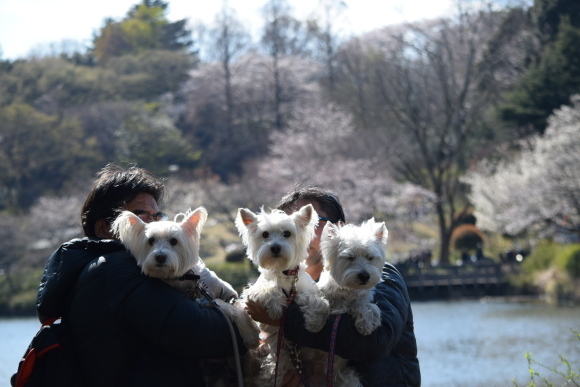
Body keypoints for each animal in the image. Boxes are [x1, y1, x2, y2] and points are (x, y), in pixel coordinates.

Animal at [234, 205, 326, 386]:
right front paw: (276, 308)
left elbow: (317, 301)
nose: (275, 247)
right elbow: (267, 289)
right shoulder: (253, 290)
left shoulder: (308, 288)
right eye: (265, 234)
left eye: (287, 233)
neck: (284, 273)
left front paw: (314, 322)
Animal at [314, 220, 388, 386]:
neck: (348, 291)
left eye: (370, 257)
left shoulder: (360, 300)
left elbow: (366, 306)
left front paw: (367, 324)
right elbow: (321, 299)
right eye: (350, 257)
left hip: (347, 376)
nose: (364, 276)